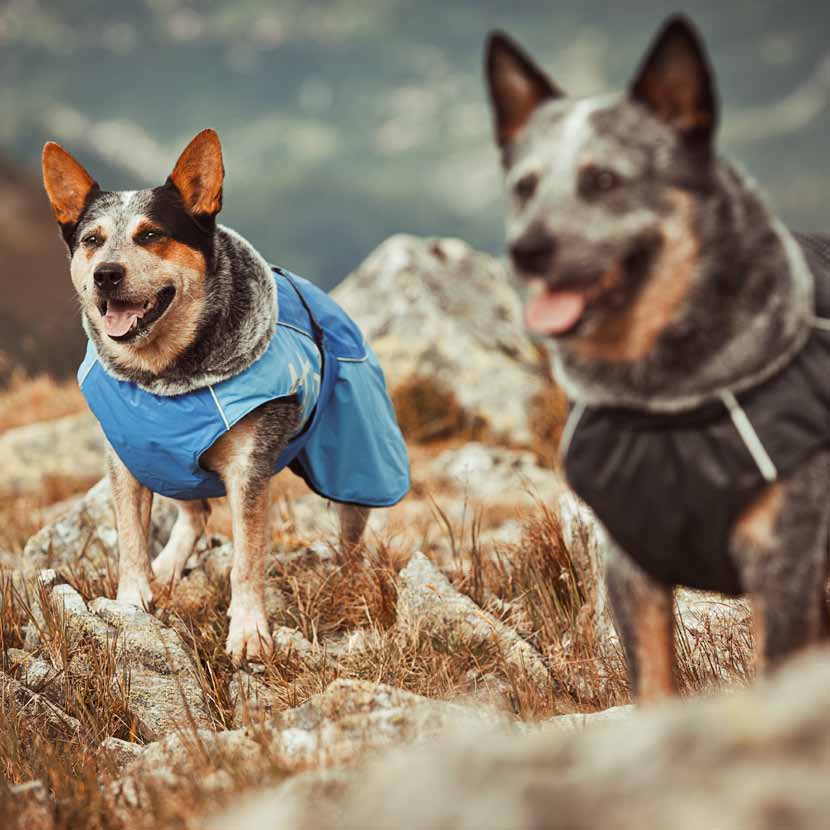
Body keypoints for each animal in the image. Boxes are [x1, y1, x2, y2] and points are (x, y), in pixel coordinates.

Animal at [42, 128, 412, 664]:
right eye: (91, 240)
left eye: (151, 235)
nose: (105, 274)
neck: (166, 378)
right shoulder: (127, 459)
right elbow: (130, 542)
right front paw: (132, 603)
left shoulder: (247, 469)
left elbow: (246, 559)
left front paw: (249, 632)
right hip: (169, 464)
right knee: (195, 513)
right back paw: (168, 566)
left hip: (356, 459)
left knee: (351, 537)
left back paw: (347, 581)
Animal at [484, 14, 830, 704]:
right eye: (525, 187)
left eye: (603, 180)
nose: (525, 250)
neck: (667, 405)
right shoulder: (631, 568)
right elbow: (653, 688)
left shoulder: (784, 566)